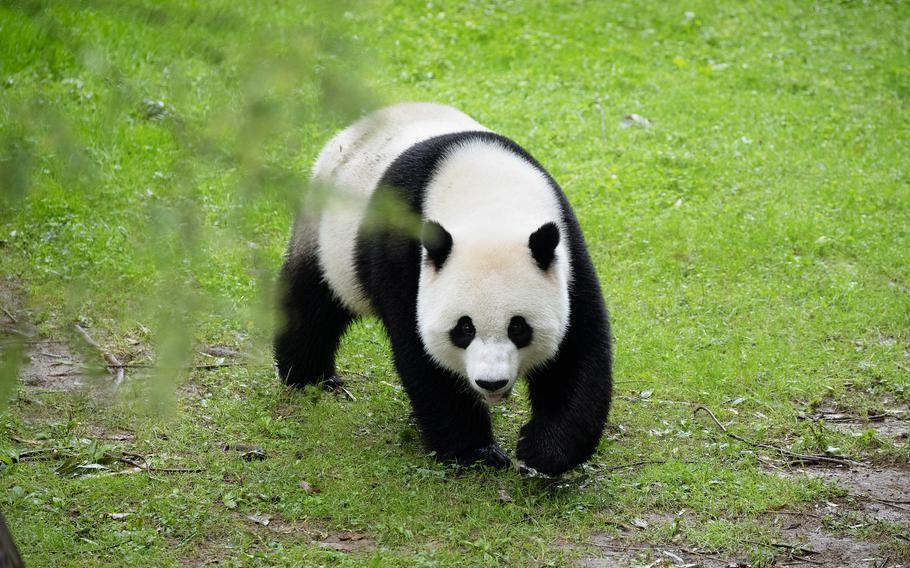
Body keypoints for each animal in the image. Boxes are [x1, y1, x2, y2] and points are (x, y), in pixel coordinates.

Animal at [272, 102, 612, 474]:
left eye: (519, 327)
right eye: (464, 328)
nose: (491, 383)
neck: (490, 202)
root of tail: (350, 131)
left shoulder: (566, 252)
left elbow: (577, 348)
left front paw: (543, 449)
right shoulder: (403, 254)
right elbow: (421, 353)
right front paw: (476, 451)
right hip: (326, 232)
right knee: (313, 301)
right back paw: (309, 375)